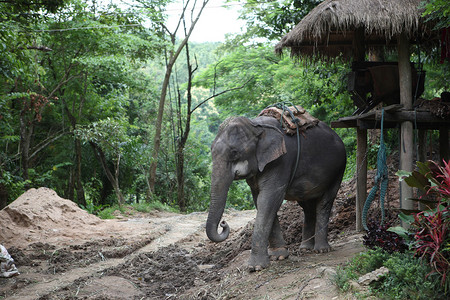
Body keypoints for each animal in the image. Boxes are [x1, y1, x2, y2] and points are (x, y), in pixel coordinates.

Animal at [206, 113, 346, 270]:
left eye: (234, 152)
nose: (223, 223)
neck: (256, 125)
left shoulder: (281, 162)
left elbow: (269, 199)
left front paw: (255, 267)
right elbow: (260, 200)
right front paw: (278, 256)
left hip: (339, 169)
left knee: (325, 202)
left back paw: (321, 249)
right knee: (307, 206)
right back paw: (305, 248)